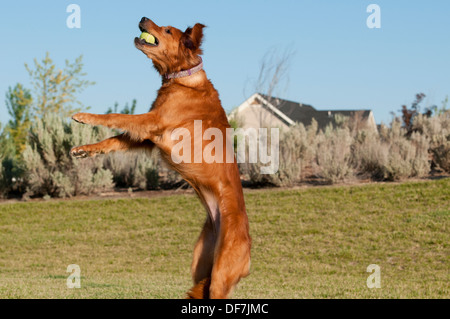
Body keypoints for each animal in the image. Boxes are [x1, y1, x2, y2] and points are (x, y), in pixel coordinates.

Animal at [71, 17, 253, 298]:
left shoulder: (153, 122)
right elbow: (112, 140)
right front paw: (84, 149)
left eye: (167, 30)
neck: (182, 78)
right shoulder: (148, 136)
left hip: (221, 274)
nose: (143, 18)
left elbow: (114, 116)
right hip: (200, 263)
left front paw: (84, 116)